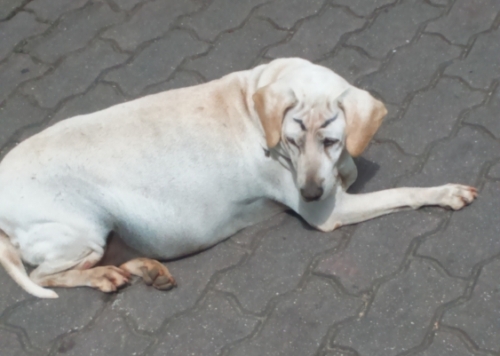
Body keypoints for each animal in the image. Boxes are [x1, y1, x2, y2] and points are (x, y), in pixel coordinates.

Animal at [0, 58, 476, 298]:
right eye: (291, 140)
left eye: (330, 140)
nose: (309, 192)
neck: (256, 96)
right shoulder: (331, 212)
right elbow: (402, 191)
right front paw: (447, 191)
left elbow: (353, 166)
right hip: (80, 233)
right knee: (44, 276)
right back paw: (105, 278)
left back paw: (141, 270)